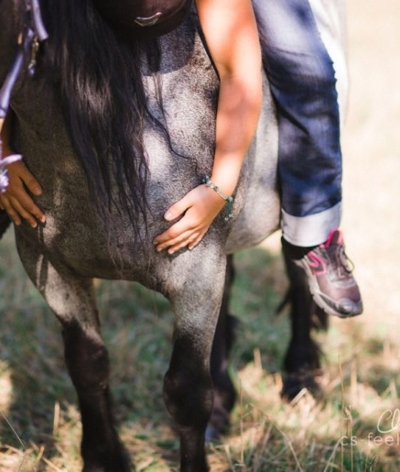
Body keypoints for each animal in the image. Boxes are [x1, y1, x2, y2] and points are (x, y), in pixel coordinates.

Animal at [0, 0, 346, 470]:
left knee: (299, 265)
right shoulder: (52, 268)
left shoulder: (194, 274)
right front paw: (105, 458)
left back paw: (301, 377)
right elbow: (88, 366)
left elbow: (186, 394)